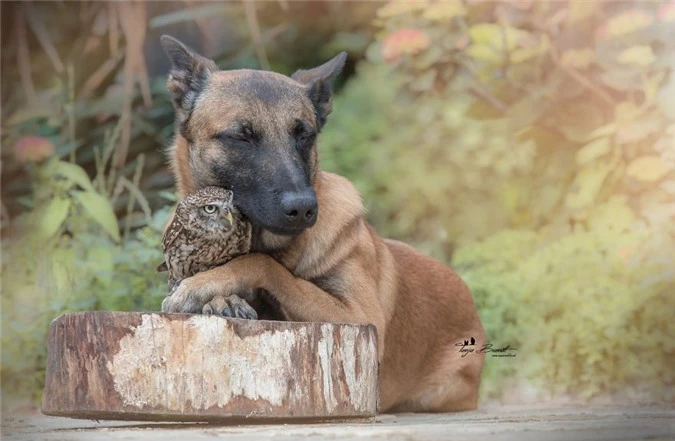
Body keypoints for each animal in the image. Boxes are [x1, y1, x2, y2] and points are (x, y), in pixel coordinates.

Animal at [158, 35, 486, 412]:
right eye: (241, 137)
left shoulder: (360, 318)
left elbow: (264, 264)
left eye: (305, 135)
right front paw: (220, 299)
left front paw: (205, 286)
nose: (302, 208)